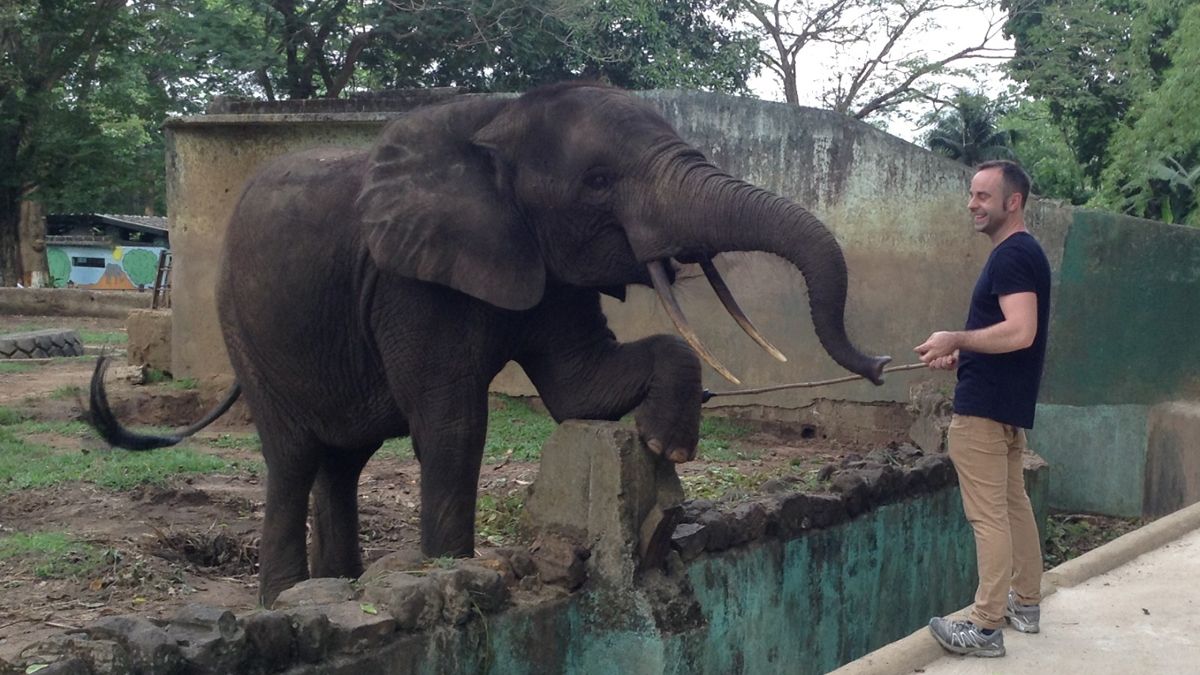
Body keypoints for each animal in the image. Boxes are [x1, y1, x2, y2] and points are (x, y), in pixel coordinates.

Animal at [89, 82, 890, 605]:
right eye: (598, 180)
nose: (883, 365)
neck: (498, 116)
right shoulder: (409, 279)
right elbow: (453, 425)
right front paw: (452, 572)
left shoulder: (541, 259)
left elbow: (582, 387)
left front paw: (665, 443)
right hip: (245, 327)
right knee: (292, 458)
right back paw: (287, 601)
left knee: (340, 464)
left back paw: (339, 589)